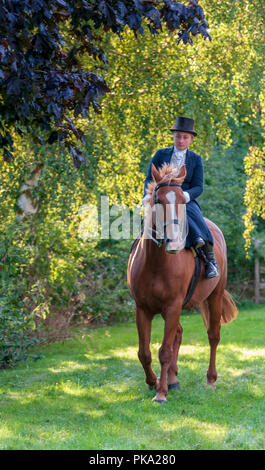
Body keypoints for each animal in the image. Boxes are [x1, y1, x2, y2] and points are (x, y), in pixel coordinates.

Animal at [127, 163, 236, 402]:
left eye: (182, 201)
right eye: (158, 201)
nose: (175, 243)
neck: (156, 263)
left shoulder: (173, 306)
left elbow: (164, 351)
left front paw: (161, 393)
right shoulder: (143, 309)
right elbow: (144, 352)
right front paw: (154, 382)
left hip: (214, 296)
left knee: (213, 336)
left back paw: (210, 380)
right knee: (178, 334)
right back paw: (173, 379)